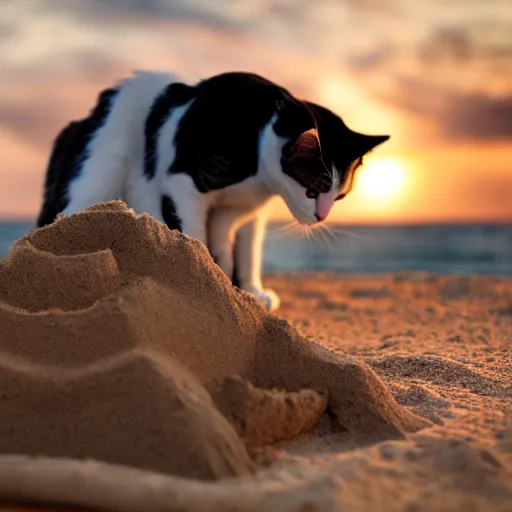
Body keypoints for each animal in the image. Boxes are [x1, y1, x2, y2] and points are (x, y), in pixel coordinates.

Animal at [37, 71, 388, 312]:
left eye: (339, 196)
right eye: (313, 191)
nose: (321, 217)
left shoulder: (251, 210)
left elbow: (247, 250)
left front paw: (248, 290)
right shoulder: (184, 185)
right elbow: (196, 238)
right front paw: (207, 288)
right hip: (97, 176)